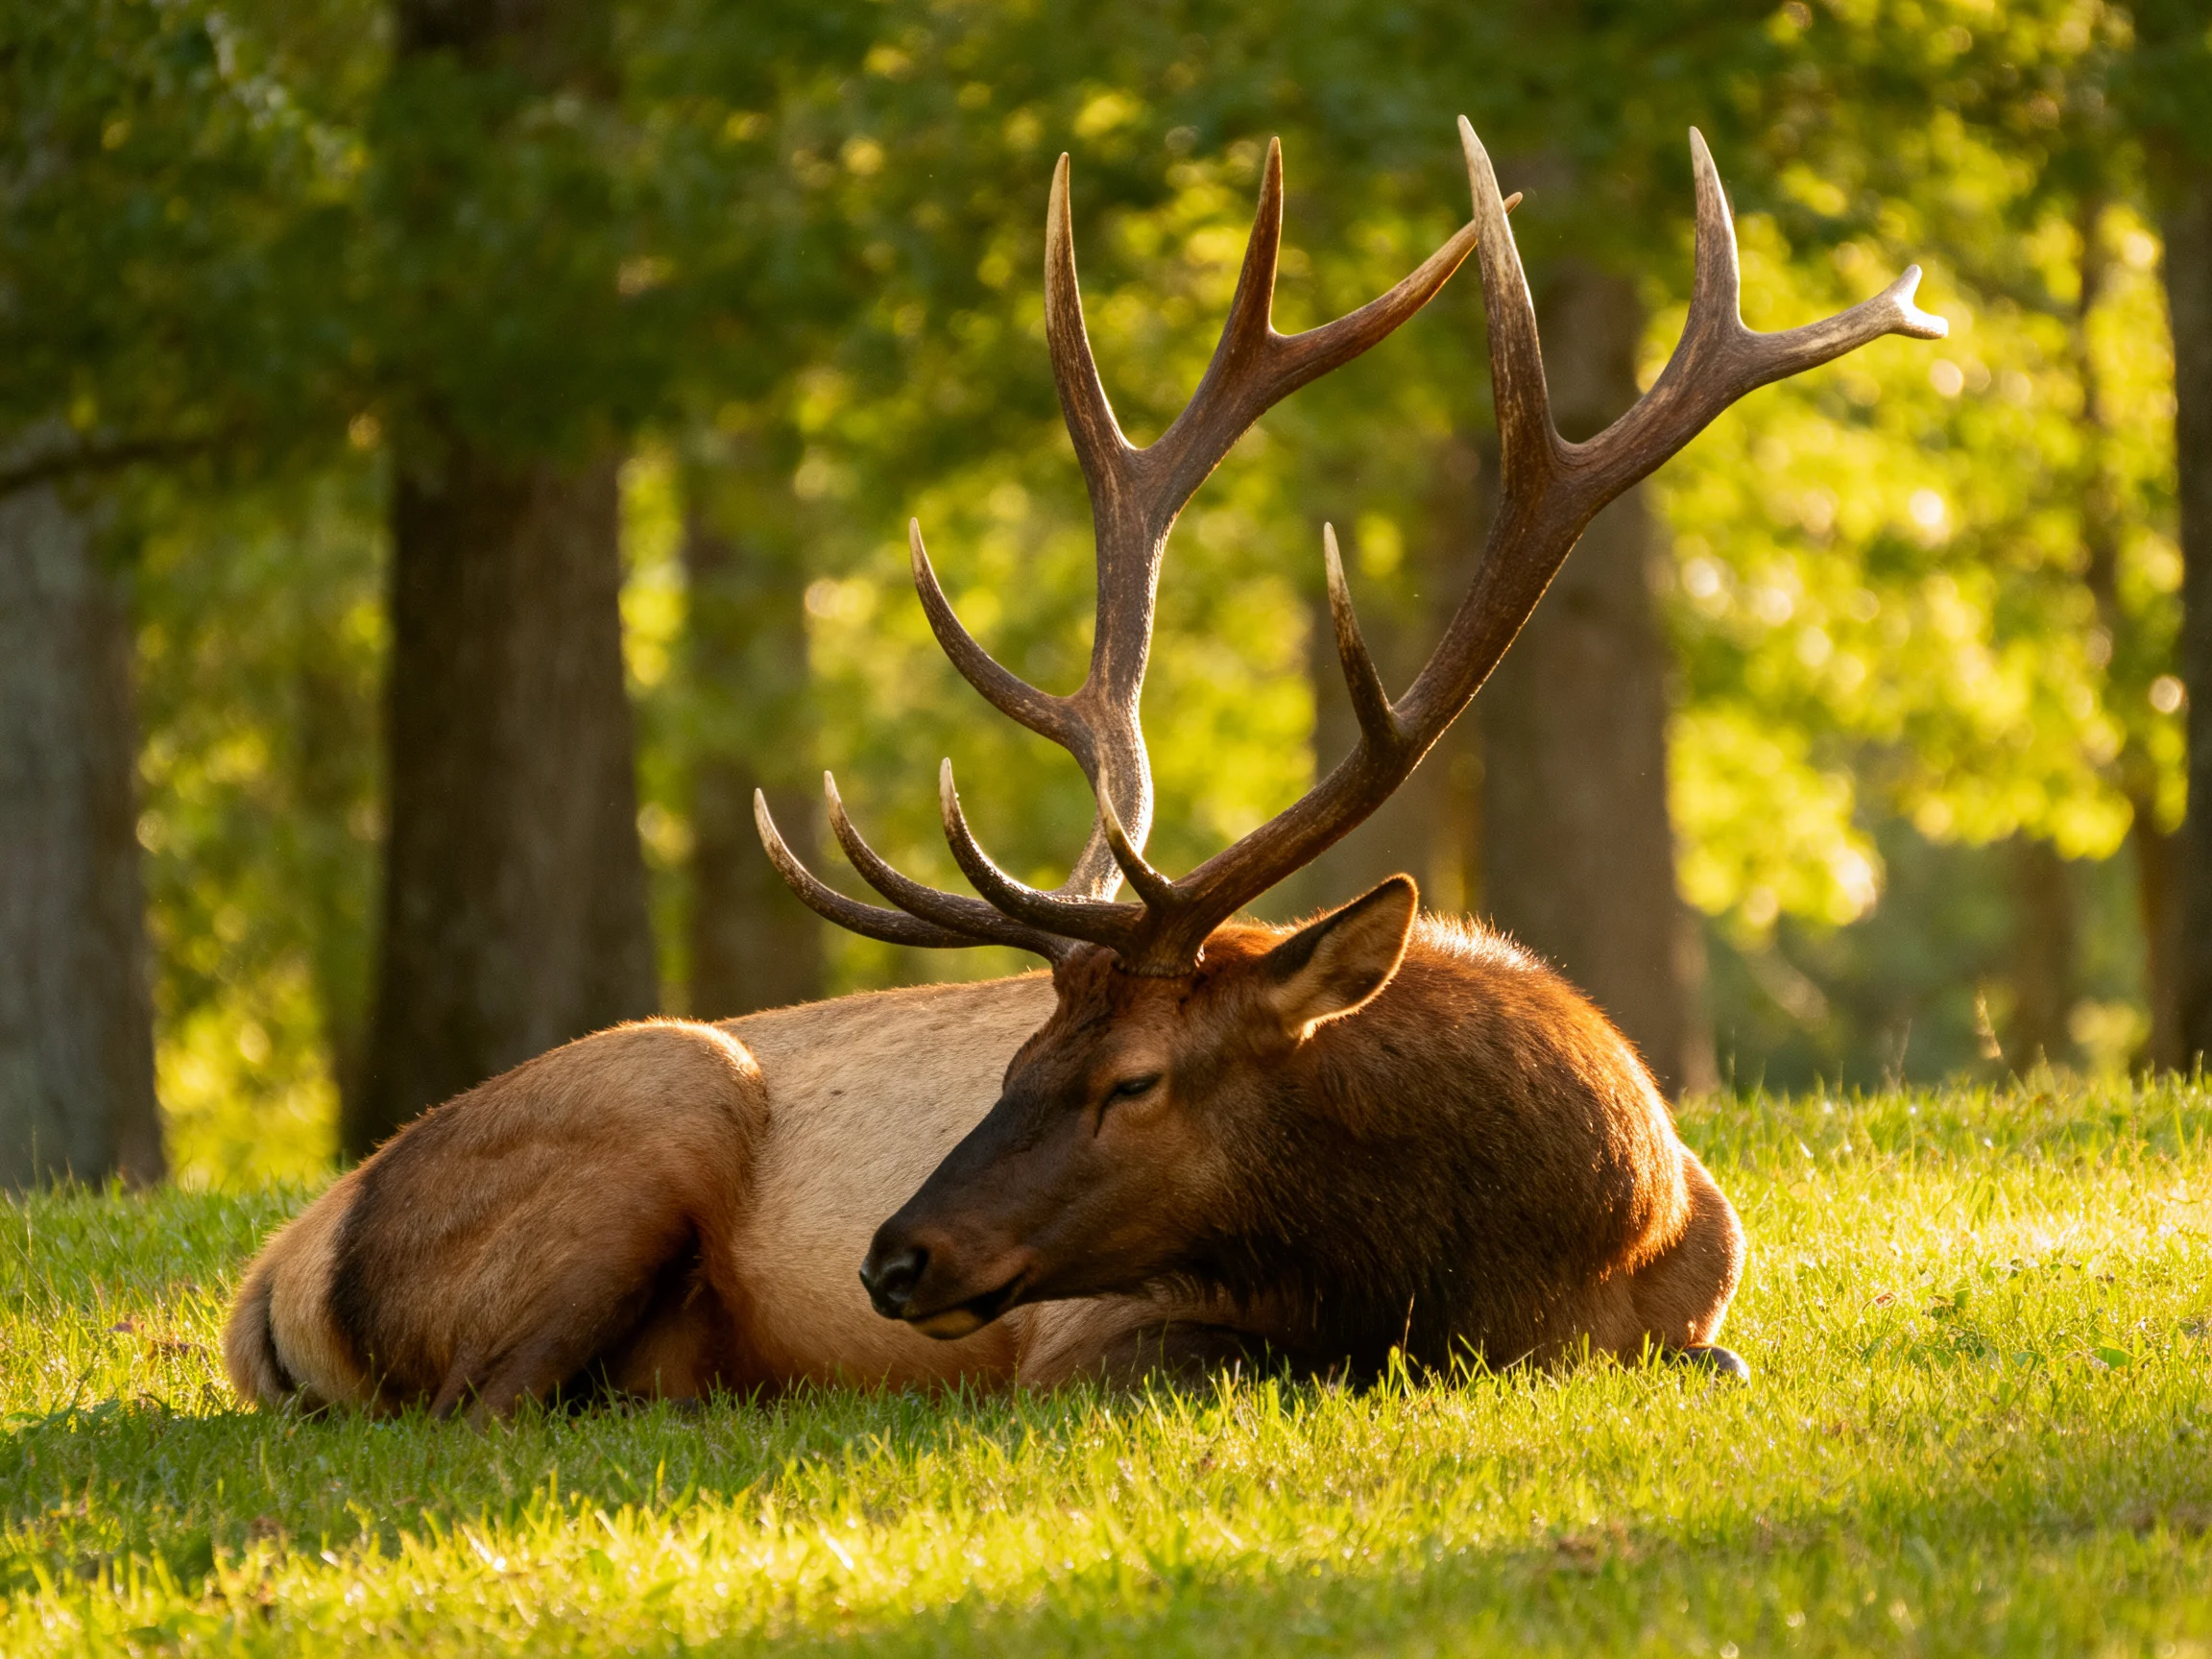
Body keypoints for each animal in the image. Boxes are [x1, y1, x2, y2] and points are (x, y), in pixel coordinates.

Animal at [224, 119, 1943, 1421]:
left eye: (1131, 1081)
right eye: (1007, 1067)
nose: (892, 1259)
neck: (1553, 1245)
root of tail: (277, 1275)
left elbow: (1718, 1357)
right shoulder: (1087, 1339)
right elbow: (1242, 1366)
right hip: (661, 1097)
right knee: (483, 1405)